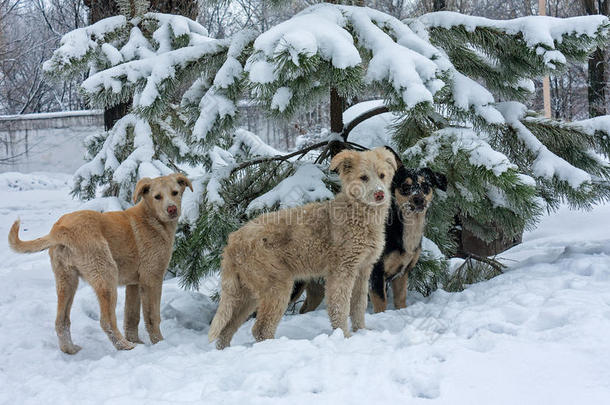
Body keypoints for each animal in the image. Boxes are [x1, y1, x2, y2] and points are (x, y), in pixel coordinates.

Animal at [7, 172, 190, 352]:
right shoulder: (151, 278)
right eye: (157, 196)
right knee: (106, 320)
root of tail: (60, 230)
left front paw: (138, 342)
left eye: (175, 192)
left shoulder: (134, 283)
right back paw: (125, 346)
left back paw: (70, 349)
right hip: (106, 274)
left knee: (61, 321)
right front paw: (159, 343)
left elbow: (131, 317)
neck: (152, 218)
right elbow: (153, 316)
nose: (172, 209)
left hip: (66, 279)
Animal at [207, 147, 396, 348]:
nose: (380, 194)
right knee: (260, 329)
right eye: (363, 177)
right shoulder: (341, 270)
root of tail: (232, 242)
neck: (357, 214)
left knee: (226, 330)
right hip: (277, 285)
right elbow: (340, 307)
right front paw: (344, 337)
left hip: (247, 292)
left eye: (382, 175)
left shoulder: (363, 269)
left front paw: (361, 332)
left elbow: (358, 307)